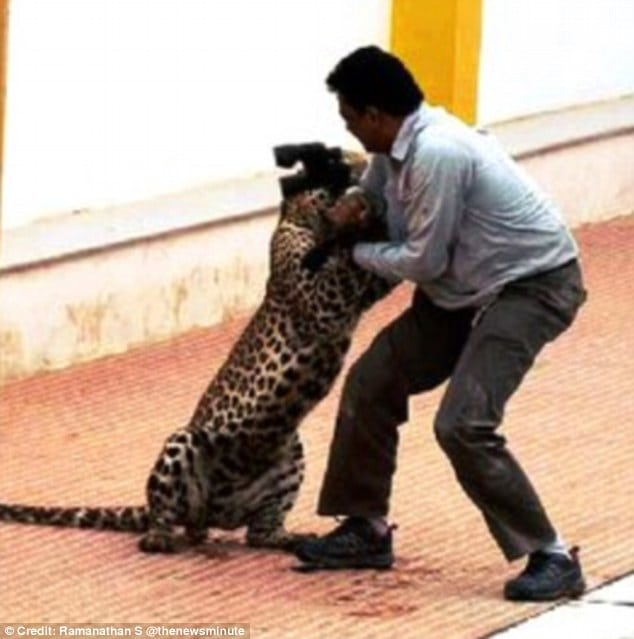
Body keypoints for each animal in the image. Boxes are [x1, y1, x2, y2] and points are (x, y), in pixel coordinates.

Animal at [0, 171, 392, 556]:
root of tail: (222, 515)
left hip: (290, 454)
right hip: (184, 442)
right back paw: (159, 538)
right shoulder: (321, 298)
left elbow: (375, 277)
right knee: (166, 517)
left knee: (255, 533)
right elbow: (347, 268)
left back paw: (287, 538)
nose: (361, 179)